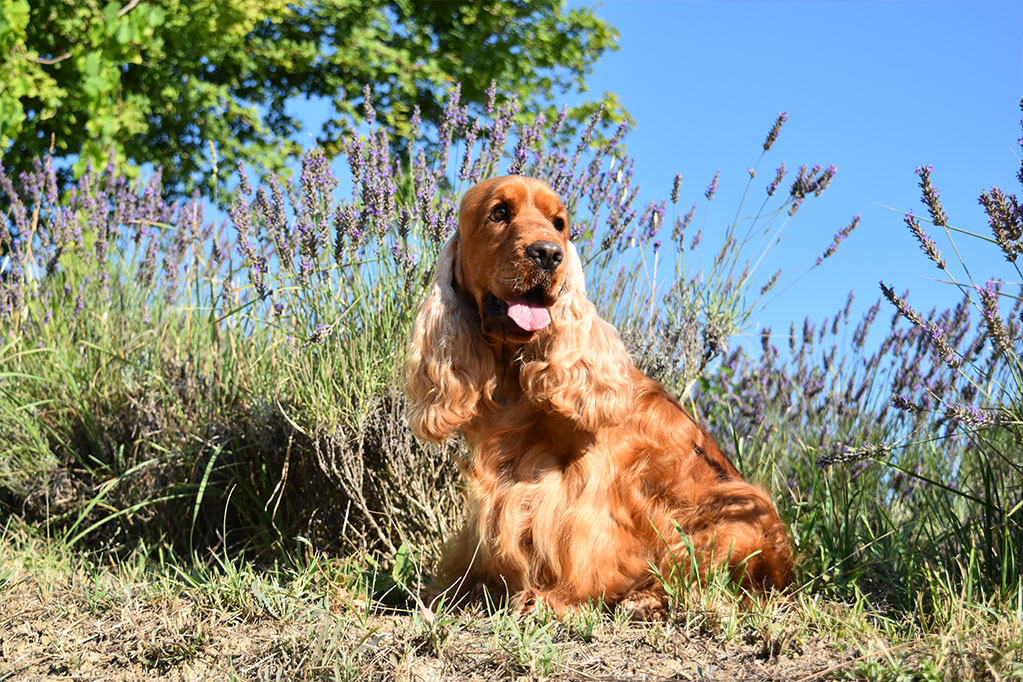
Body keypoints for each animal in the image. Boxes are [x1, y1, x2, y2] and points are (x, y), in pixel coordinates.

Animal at [403, 175, 793, 617]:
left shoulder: (586, 487)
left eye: (559, 224)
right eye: (499, 213)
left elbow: (582, 546)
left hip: (734, 519)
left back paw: (642, 598)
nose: (548, 253)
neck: (512, 381)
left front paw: (553, 598)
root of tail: (786, 571)